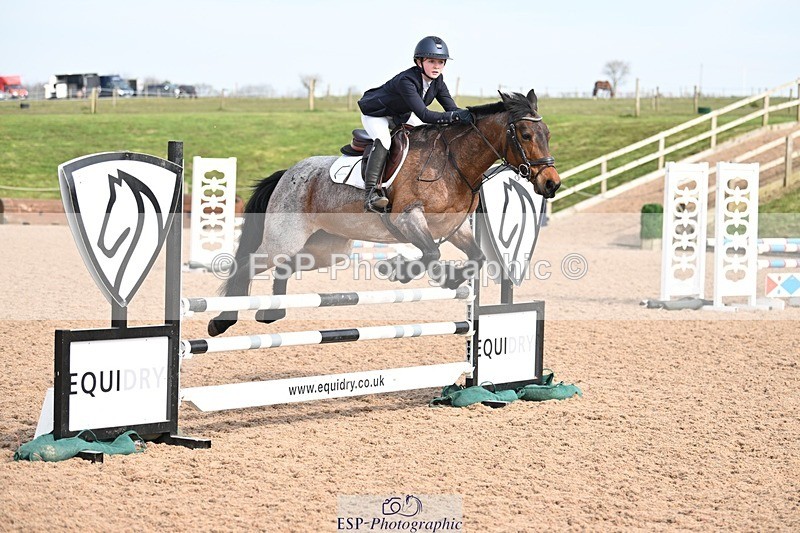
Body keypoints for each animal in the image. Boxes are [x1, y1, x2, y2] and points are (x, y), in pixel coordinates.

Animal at [207, 89, 561, 337]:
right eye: (526, 135)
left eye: (548, 135)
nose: (551, 183)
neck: (453, 162)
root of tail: (287, 174)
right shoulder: (408, 218)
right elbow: (431, 253)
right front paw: (397, 271)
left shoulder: (454, 226)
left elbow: (477, 257)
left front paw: (448, 278)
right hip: (284, 240)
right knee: (248, 265)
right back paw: (221, 322)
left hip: (326, 249)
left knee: (285, 267)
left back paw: (271, 313)